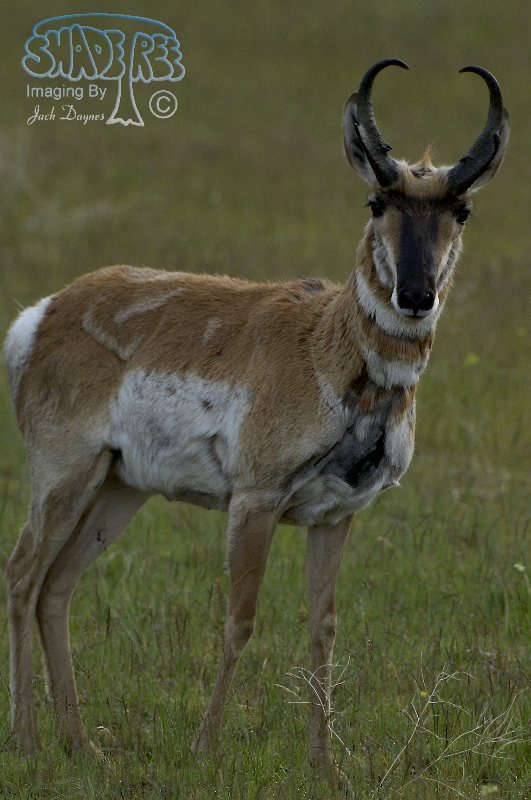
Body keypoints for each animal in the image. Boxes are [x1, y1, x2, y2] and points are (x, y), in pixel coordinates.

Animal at [4, 59, 508, 787]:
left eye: (459, 209)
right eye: (376, 202)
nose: (415, 296)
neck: (330, 345)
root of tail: (44, 313)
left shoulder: (334, 517)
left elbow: (323, 628)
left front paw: (325, 766)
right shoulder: (256, 501)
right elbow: (239, 621)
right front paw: (205, 748)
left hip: (118, 489)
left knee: (56, 587)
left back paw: (79, 745)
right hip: (65, 476)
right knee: (22, 575)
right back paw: (27, 742)